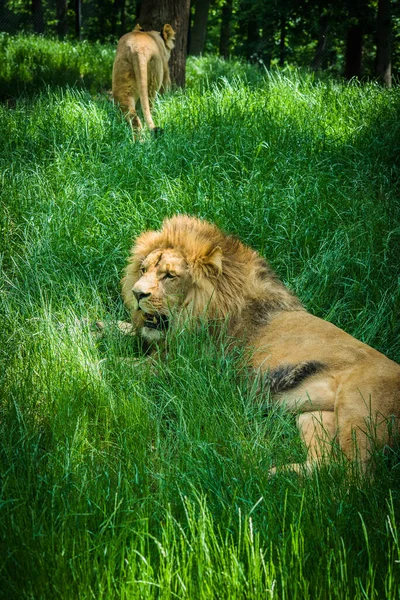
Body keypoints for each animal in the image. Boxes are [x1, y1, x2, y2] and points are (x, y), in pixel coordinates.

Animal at [122, 214, 400, 474]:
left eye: (169, 275)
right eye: (143, 270)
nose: (137, 293)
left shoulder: (184, 368)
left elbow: (121, 365)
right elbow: (125, 331)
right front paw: (113, 327)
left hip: (360, 408)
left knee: (355, 475)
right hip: (314, 416)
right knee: (325, 466)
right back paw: (275, 475)